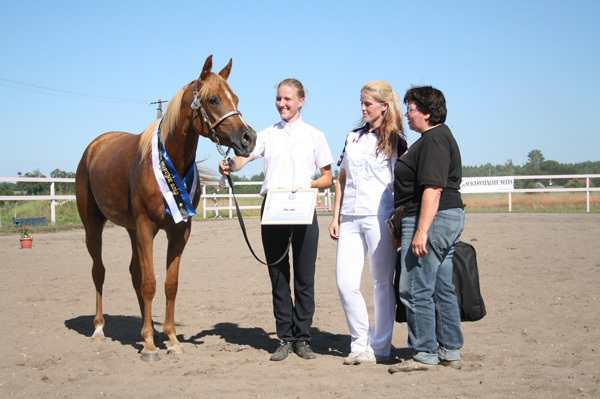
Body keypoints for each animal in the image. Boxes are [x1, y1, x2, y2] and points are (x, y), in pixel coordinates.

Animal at [75, 55, 255, 362]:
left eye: (236, 98)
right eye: (213, 99)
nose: (248, 138)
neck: (169, 160)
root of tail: (95, 146)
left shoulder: (178, 231)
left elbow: (169, 284)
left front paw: (170, 339)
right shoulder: (146, 226)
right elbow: (150, 283)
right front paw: (149, 347)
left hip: (131, 230)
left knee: (134, 273)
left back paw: (148, 331)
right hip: (93, 225)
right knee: (99, 271)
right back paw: (99, 330)